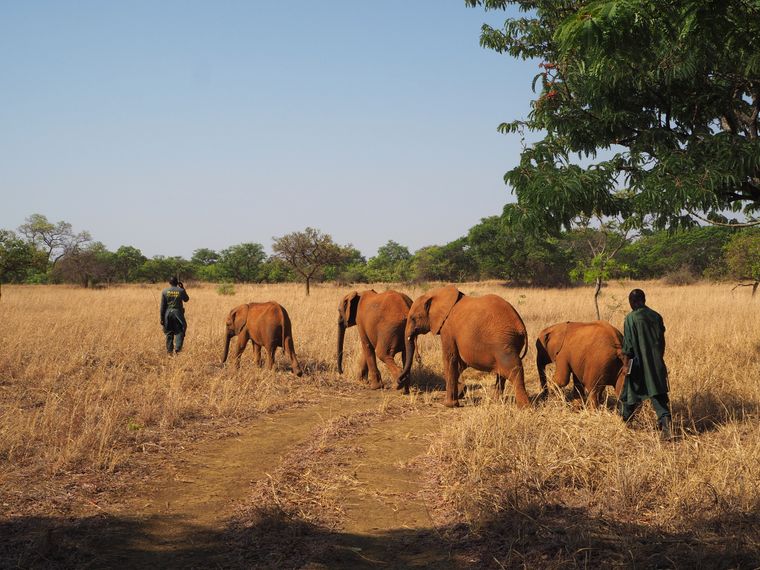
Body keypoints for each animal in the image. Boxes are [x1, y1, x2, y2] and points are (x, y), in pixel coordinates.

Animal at [399, 285, 529, 408]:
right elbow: (459, 364)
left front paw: (448, 405)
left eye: (413, 318)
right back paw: (495, 401)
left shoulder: (447, 329)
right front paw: (460, 393)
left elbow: (450, 358)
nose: (400, 381)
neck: (436, 294)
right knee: (502, 373)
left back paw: (524, 407)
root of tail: (521, 326)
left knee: (514, 370)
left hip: (503, 342)